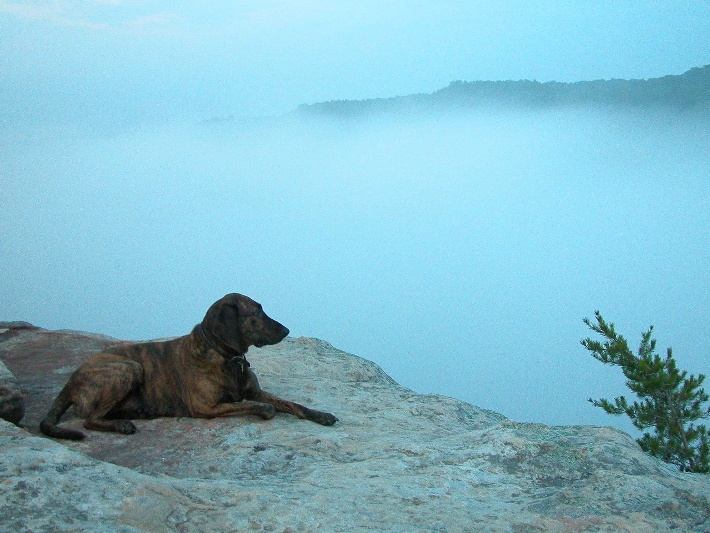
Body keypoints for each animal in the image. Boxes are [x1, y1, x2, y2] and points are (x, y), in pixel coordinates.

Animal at [40, 294, 338, 438]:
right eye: (257, 311)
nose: (287, 330)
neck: (226, 356)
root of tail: (71, 380)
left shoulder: (255, 391)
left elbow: (292, 404)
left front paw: (321, 414)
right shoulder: (206, 407)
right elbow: (262, 407)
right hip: (128, 368)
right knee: (90, 419)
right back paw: (123, 424)